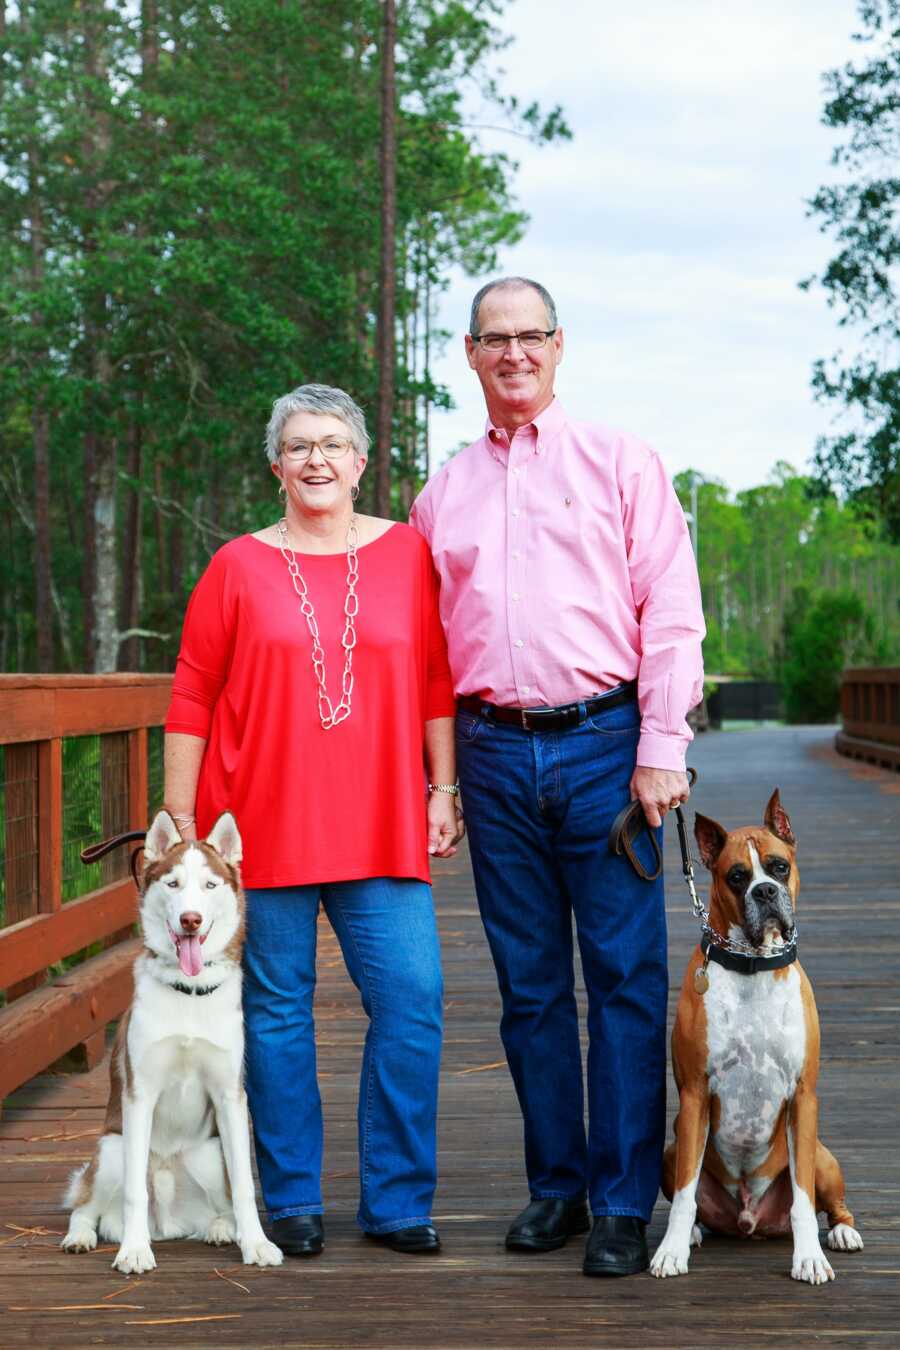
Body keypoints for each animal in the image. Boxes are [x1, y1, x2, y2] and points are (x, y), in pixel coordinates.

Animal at [62, 810, 282, 1274]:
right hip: (111, 1150)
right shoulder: (138, 1094)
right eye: (173, 883)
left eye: (210, 885)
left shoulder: (230, 1096)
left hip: (209, 1155)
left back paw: (221, 1230)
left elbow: (244, 1186)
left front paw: (256, 1244)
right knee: (85, 1207)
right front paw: (133, 1250)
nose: (191, 920)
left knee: (222, 1203)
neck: (189, 992)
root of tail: (166, 1225)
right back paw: (83, 1237)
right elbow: (133, 1191)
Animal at [650, 788, 863, 1285]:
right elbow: (685, 1195)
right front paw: (671, 1250)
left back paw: (843, 1232)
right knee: (693, 1200)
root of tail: (752, 1219)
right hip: (670, 1149)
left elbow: (804, 1199)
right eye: (736, 876)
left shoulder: (803, 1097)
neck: (753, 965)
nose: (764, 891)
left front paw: (809, 1258)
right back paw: (693, 1234)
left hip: (822, 1155)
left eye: (778, 866)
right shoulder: (694, 1097)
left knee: (832, 1203)